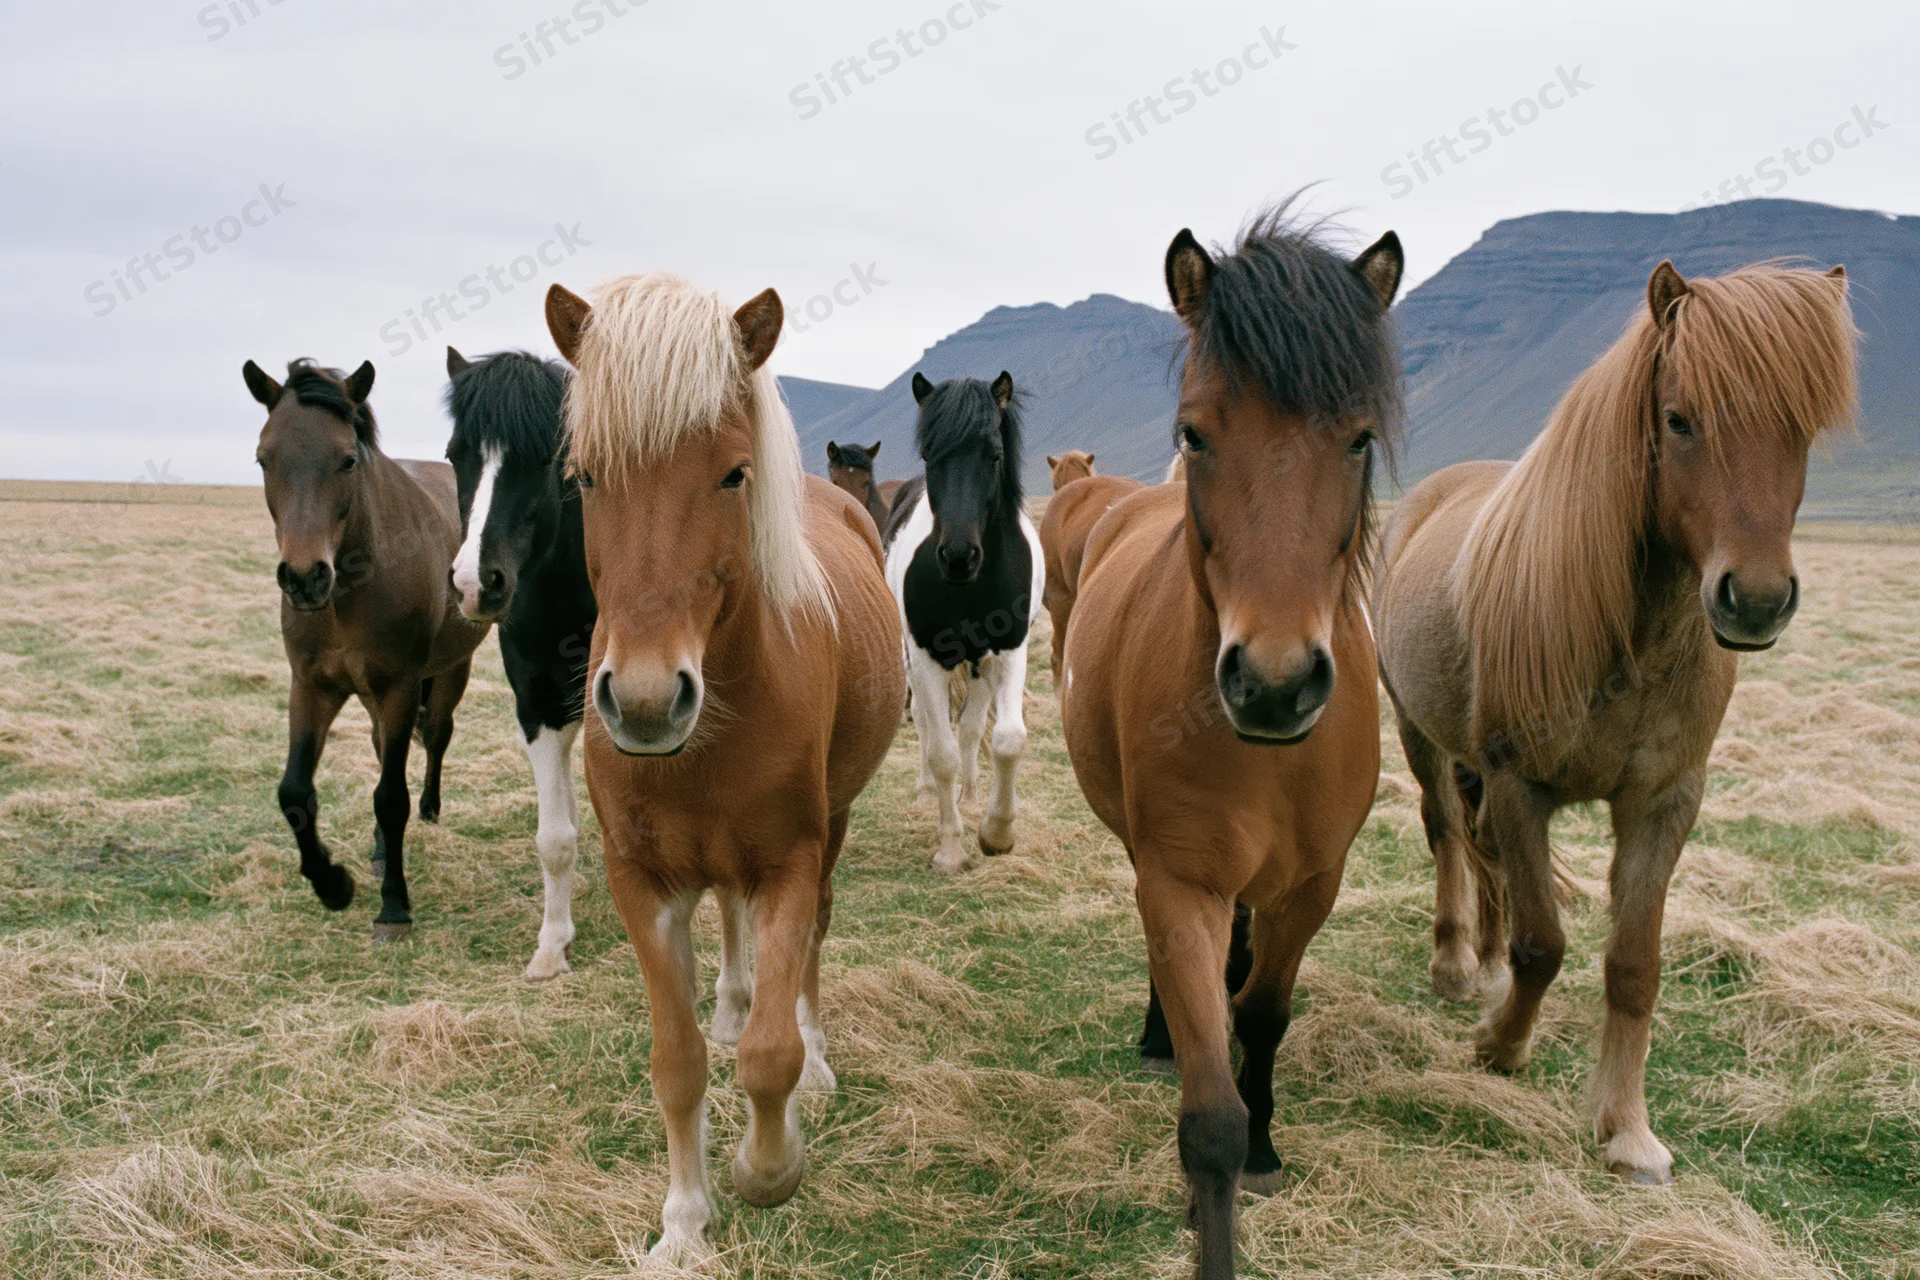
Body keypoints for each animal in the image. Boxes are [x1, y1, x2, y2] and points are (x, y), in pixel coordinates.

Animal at [244, 358, 491, 938]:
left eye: (347, 459)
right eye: (264, 458)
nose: (304, 577)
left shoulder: (400, 686)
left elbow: (391, 796)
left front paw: (394, 906)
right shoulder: (312, 686)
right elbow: (295, 792)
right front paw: (333, 884)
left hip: (449, 672)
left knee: (436, 738)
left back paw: (429, 811)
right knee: (384, 750)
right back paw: (380, 852)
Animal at [544, 272, 905, 1265]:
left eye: (734, 473)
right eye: (584, 476)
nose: (641, 701)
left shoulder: (787, 861)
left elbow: (770, 1055)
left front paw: (765, 1167)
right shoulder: (642, 881)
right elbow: (677, 1063)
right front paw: (681, 1223)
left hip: (831, 831)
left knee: (809, 947)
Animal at [883, 371, 1045, 876]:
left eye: (993, 455)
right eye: (930, 455)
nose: (957, 557)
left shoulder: (1010, 651)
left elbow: (1007, 739)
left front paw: (996, 832)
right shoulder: (925, 656)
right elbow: (941, 752)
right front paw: (951, 847)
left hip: (979, 666)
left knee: (973, 729)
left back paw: (972, 797)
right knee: (926, 723)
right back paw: (928, 793)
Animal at [1057, 208, 1403, 1280]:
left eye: (1358, 437)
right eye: (1194, 432)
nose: (1276, 681)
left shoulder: (1312, 884)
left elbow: (1261, 1013)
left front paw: (1264, 1144)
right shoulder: (1179, 880)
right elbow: (1204, 1116)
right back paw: (1159, 1030)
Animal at [1374, 260, 1856, 1185]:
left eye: (1802, 429)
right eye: (1679, 420)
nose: (1756, 600)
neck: (1633, 638)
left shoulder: (1665, 801)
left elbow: (1634, 964)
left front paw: (1627, 1130)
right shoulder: (1521, 784)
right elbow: (1544, 943)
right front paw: (1500, 1047)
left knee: (1480, 850)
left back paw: (1481, 965)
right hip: (1423, 735)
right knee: (1448, 833)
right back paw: (1456, 962)